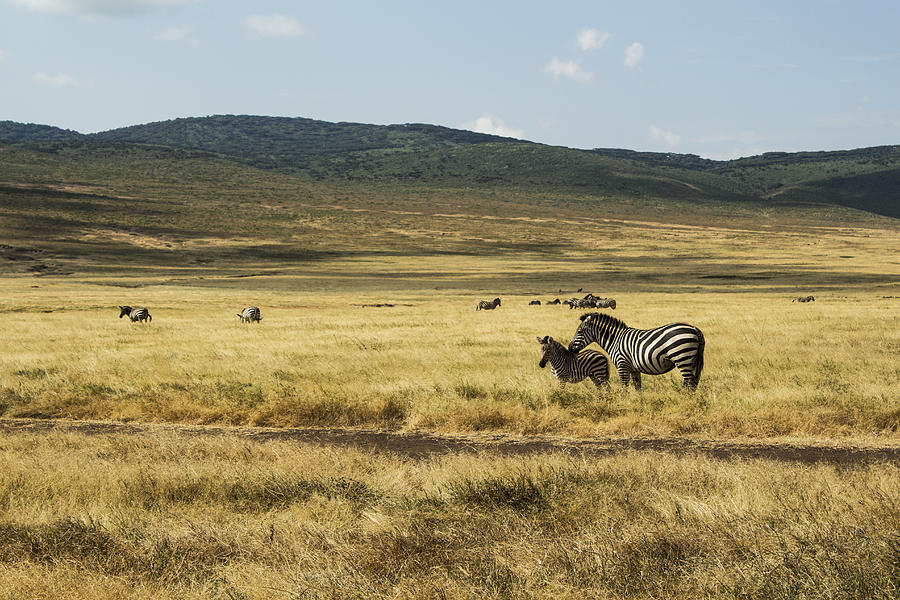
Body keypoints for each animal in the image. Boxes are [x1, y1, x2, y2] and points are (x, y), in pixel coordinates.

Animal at [568, 312, 708, 392]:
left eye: (579, 331)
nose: (570, 348)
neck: (615, 340)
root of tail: (695, 329)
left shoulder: (622, 365)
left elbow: (624, 387)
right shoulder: (634, 369)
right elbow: (638, 388)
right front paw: (638, 404)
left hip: (682, 357)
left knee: (689, 383)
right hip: (692, 361)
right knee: (693, 383)